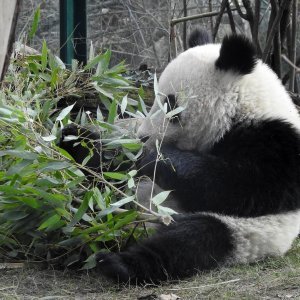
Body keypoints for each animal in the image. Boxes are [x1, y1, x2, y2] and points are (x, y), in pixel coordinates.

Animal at [59, 29, 300, 284]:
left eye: (170, 104)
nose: (143, 136)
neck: (242, 108)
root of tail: (134, 224)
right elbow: (116, 164)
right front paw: (78, 141)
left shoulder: (278, 148)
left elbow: (235, 188)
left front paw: (154, 157)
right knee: (94, 196)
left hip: (243, 233)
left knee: (191, 239)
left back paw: (116, 263)